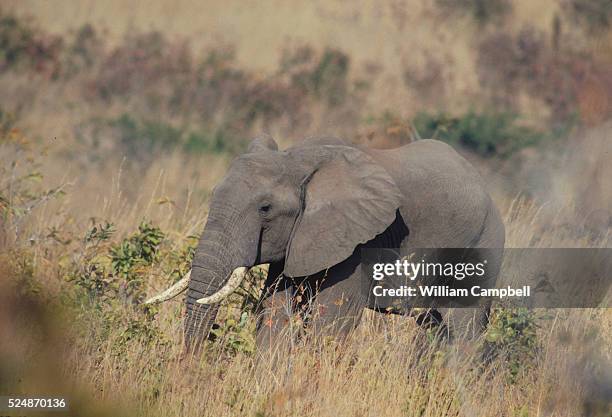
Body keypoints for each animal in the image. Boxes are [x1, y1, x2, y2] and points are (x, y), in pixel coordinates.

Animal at [146, 135, 504, 350]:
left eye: (265, 209)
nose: (190, 366)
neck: (298, 160)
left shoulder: (357, 242)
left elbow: (330, 323)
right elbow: (275, 313)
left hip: (481, 248)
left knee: (462, 331)